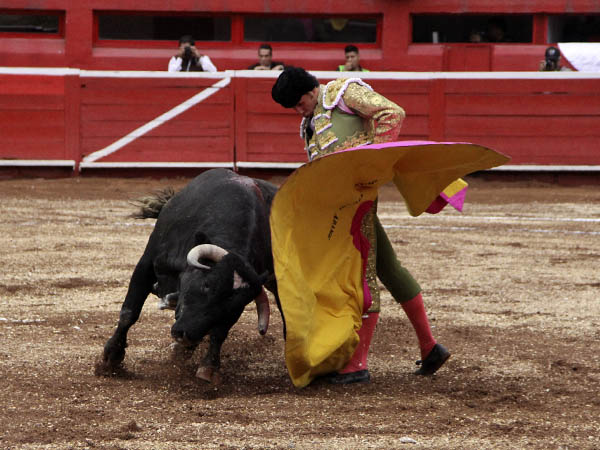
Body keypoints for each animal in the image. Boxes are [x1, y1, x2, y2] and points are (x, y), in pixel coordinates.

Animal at [96, 169, 280, 384]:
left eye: (234, 305)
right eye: (207, 285)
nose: (186, 335)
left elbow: (219, 332)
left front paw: (209, 367)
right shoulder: (146, 262)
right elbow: (129, 311)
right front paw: (112, 356)